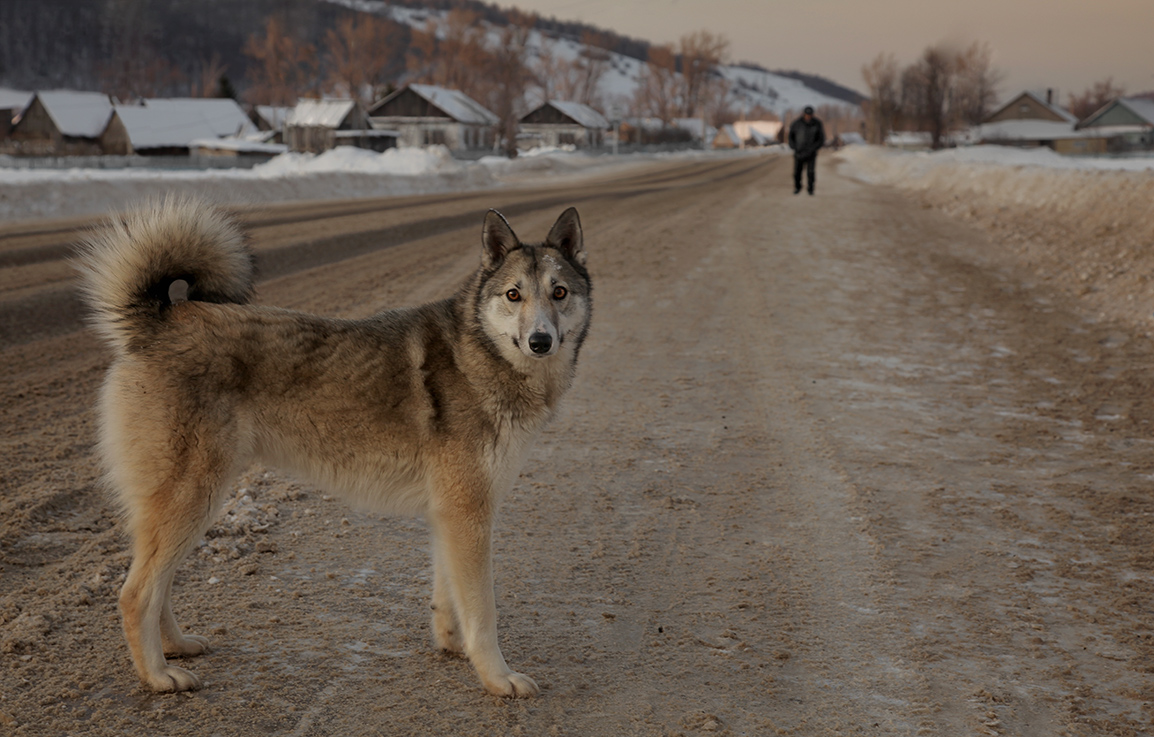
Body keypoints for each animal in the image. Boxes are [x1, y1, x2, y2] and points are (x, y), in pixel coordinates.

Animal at [76, 198, 590, 701]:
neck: (481, 354)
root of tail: (162, 319)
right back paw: (158, 677)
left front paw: (453, 648)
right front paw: (498, 679)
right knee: (135, 594)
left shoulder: (452, 516)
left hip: (184, 508)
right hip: (193, 501)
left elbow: (450, 601)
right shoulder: (468, 515)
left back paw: (176, 649)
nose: (540, 341)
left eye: (560, 293)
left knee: (155, 588)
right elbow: (484, 612)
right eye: (513, 295)